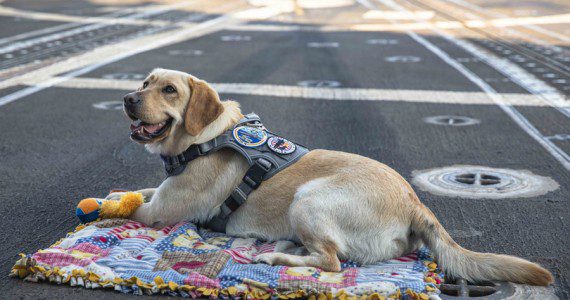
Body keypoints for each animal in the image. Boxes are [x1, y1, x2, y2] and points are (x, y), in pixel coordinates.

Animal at [107, 68, 552, 286]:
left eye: (168, 90)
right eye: (144, 83)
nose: (126, 99)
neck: (204, 139)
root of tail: (414, 201)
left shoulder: (160, 214)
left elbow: (124, 209)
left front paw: (107, 208)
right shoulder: (161, 195)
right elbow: (134, 191)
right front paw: (119, 192)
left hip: (308, 198)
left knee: (332, 262)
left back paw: (274, 257)